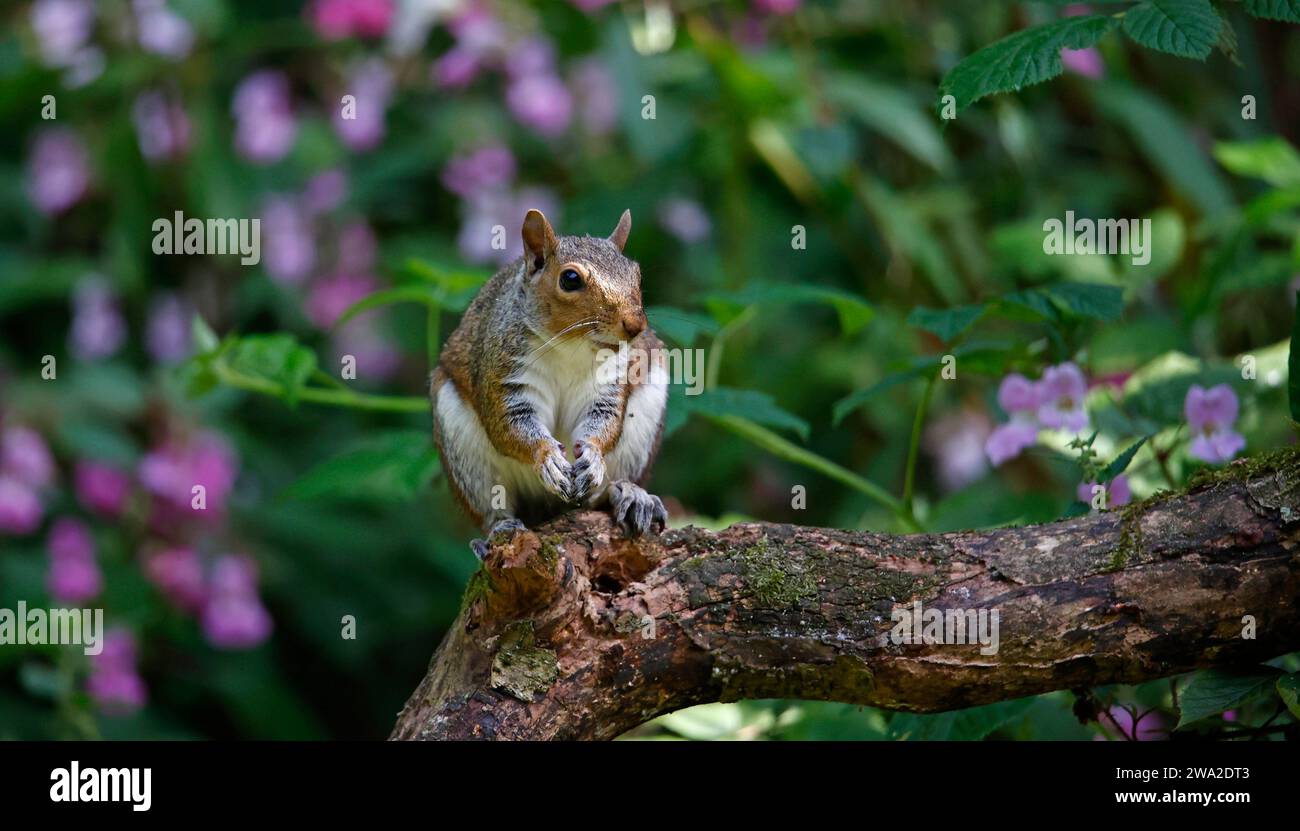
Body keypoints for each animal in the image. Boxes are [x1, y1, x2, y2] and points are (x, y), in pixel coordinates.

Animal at [431, 208, 670, 561]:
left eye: (636, 275)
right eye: (570, 279)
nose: (636, 325)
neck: (571, 346)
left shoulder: (610, 382)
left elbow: (605, 421)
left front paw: (593, 457)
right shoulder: (503, 375)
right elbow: (509, 426)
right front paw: (547, 457)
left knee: (599, 497)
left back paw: (627, 493)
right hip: (462, 447)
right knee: (491, 506)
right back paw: (499, 529)